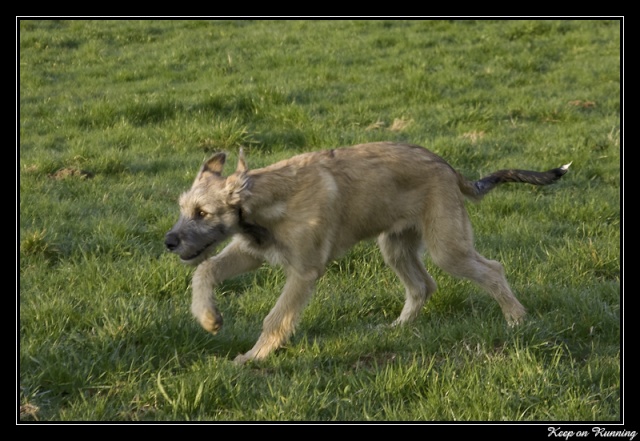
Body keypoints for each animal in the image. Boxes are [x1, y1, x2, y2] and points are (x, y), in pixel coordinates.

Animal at [166, 143, 568, 362]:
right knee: (423, 286)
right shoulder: (252, 252)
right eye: (184, 208)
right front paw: (208, 318)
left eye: (203, 213)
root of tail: (449, 169)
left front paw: (254, 357)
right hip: (395, 246)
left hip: (447, 248)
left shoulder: (303, 272)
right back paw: (398, 327)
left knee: (492, 270)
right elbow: (204, 271)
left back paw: (516, 320)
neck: (266, 200)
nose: (169, 242)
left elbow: (275, 318)